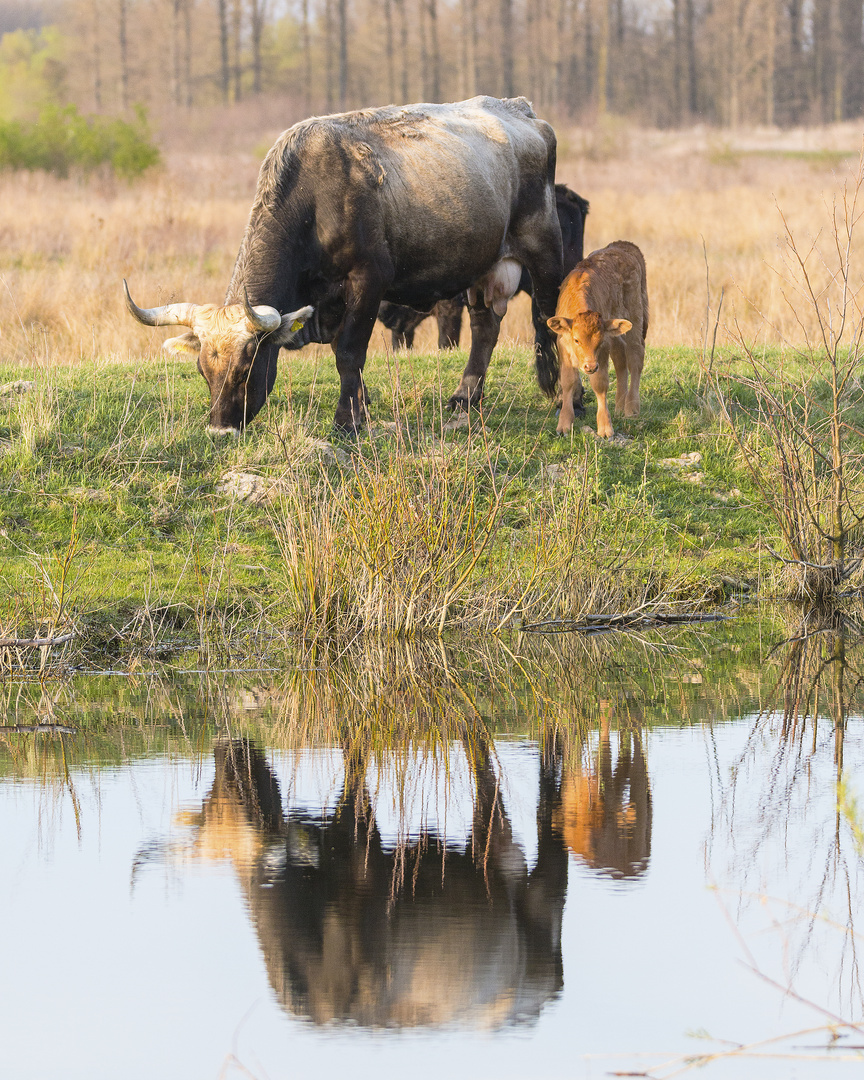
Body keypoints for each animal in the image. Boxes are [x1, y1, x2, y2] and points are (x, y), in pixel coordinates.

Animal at [124, 96, 561, 434]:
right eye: (202, 369)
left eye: (246, 367)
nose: (220, 429)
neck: (315, 202)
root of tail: (520, 109)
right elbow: (344, 352)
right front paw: (361, 409)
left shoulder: (368, 282)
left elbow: (349, 352)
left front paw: (347, 421)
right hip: (484, 268)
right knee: (485, 328)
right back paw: (464, 396)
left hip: (545, 253)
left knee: (549, 318)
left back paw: (563, 397)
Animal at [546, 239, 648, 434]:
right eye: (576, 340)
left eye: (598, 340)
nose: (590, 366)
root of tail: (623, 246)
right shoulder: (563, 347)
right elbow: (568, 382)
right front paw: (564, 424)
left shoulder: (603, 349)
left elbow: (600, 383)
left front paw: (605, 427)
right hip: (616, 333)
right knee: (621, 360)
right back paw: (619, 407)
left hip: (634, 318)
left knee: (635, 358)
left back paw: (631, 408)